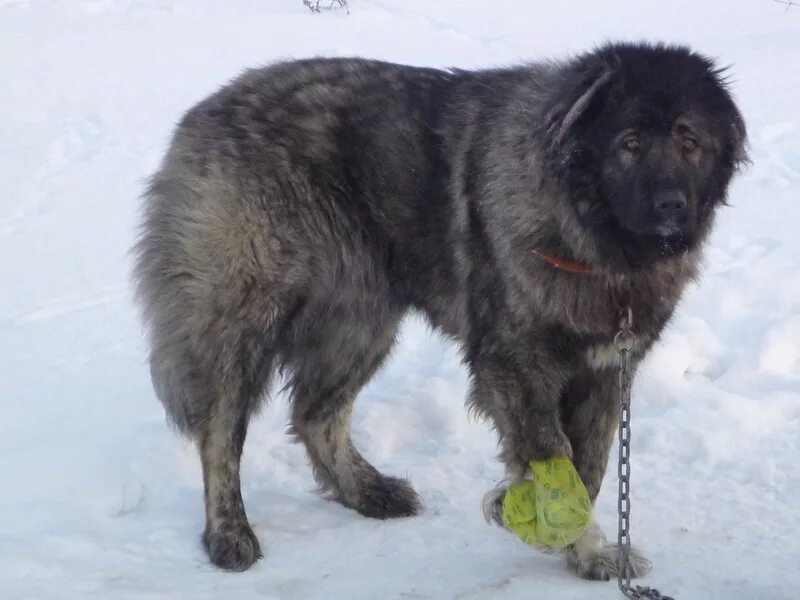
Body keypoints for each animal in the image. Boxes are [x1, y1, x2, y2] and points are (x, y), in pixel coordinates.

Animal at [133, 41, 752, 576]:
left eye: (690, 143)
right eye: (629, 142)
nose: (671, 205)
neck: (593, 243)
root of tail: (209, 108)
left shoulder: (606, 368)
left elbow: (592, 468)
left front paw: (588, 552)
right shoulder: (516, 366)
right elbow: (558, 465)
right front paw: (545, 524)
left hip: (360, 322)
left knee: (315, 413)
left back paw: (366, 491)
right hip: (244, 320)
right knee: (221, 434)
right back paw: (229, 532)